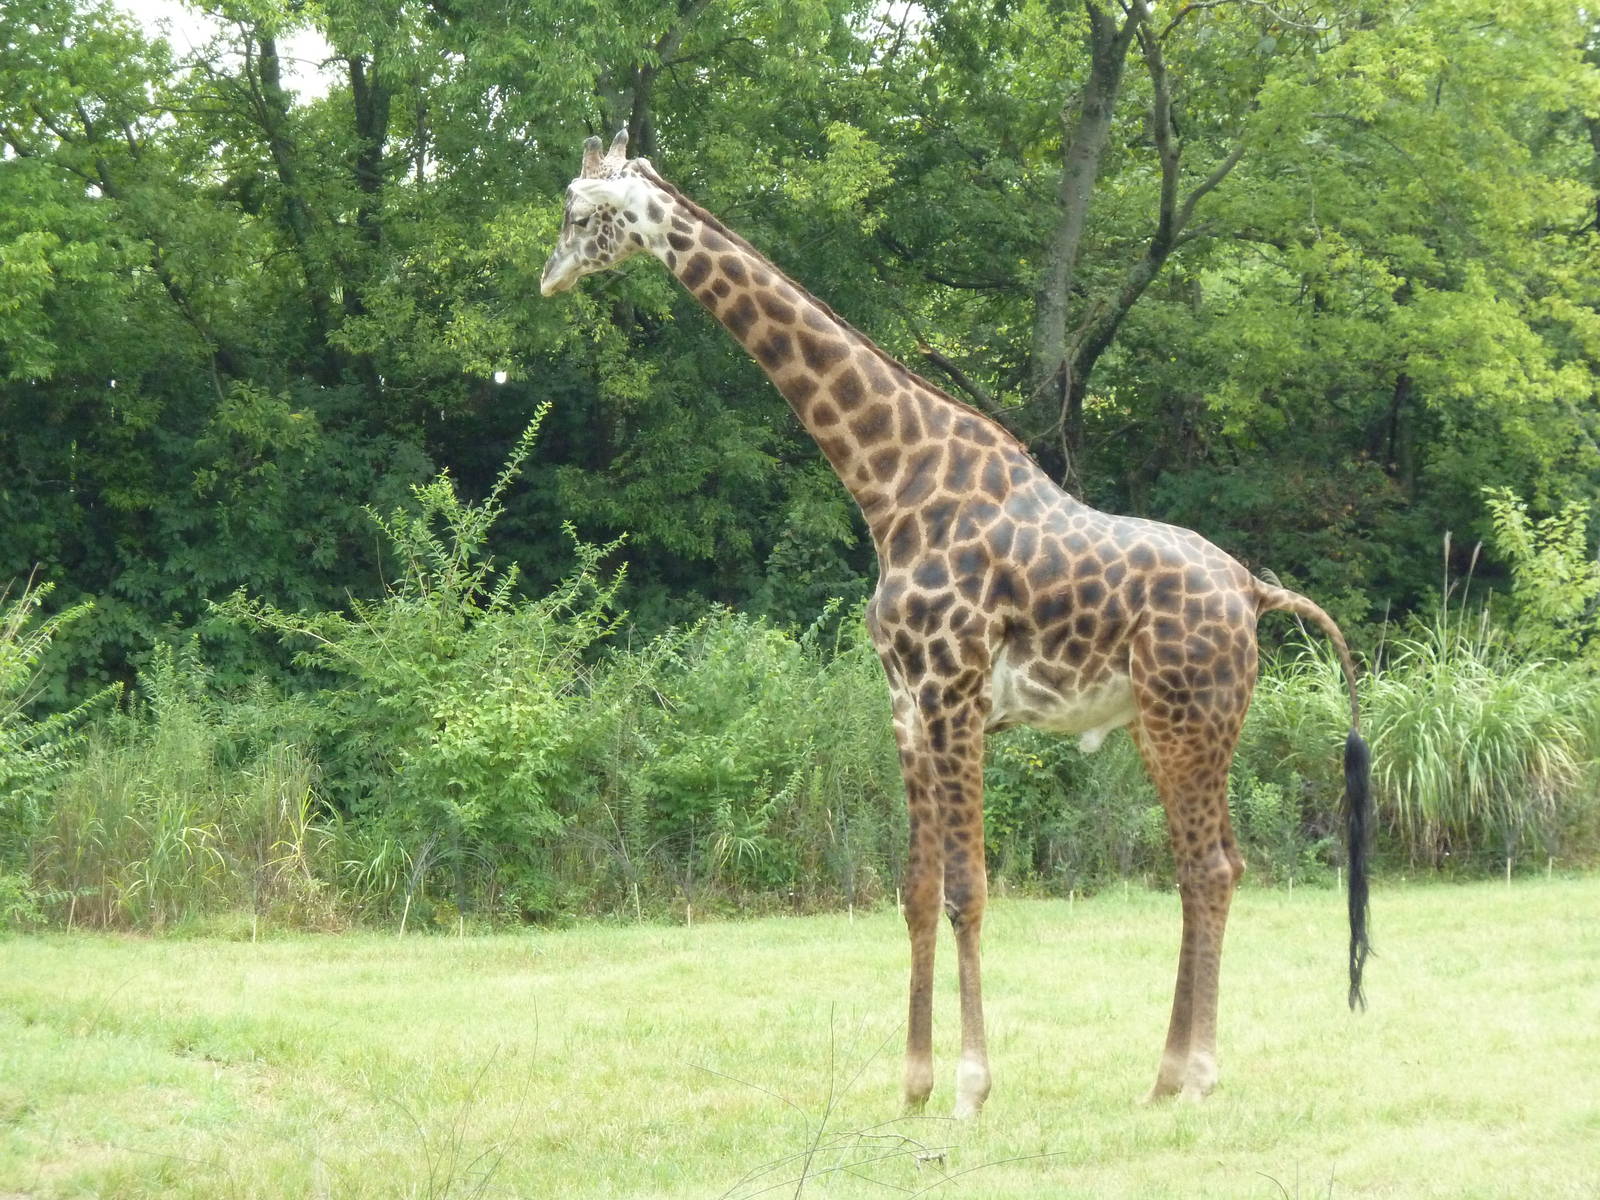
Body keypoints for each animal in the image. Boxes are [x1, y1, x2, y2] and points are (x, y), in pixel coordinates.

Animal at [541, 131, 1372, 1117]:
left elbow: (969, 890)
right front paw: (913, 1085)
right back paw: (1166, 1075)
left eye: (578, 212)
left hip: (1190, 720)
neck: (891, 485)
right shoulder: (905, 704)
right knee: (1205, 865)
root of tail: (1253, 591)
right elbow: (913, 889)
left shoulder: (956, 695)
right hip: (1169, 725)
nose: (548, 278)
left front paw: (973, 1089)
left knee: (1210, 867)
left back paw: (1196, 1074)